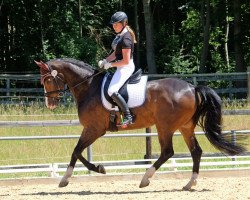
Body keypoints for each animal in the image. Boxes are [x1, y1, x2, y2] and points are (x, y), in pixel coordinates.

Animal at [34, 58, 244, 191]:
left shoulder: (95, 129)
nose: (50, 104)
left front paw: (94, 170)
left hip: (164, 126)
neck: (88, 87)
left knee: (168, 152)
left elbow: (77, 151)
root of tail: (192, 88)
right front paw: (69, 178)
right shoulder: (91, 129)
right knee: (196, 152)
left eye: (48, 79)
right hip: (185, 127)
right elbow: (76, 151)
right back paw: (189, 184)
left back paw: (145, 179)